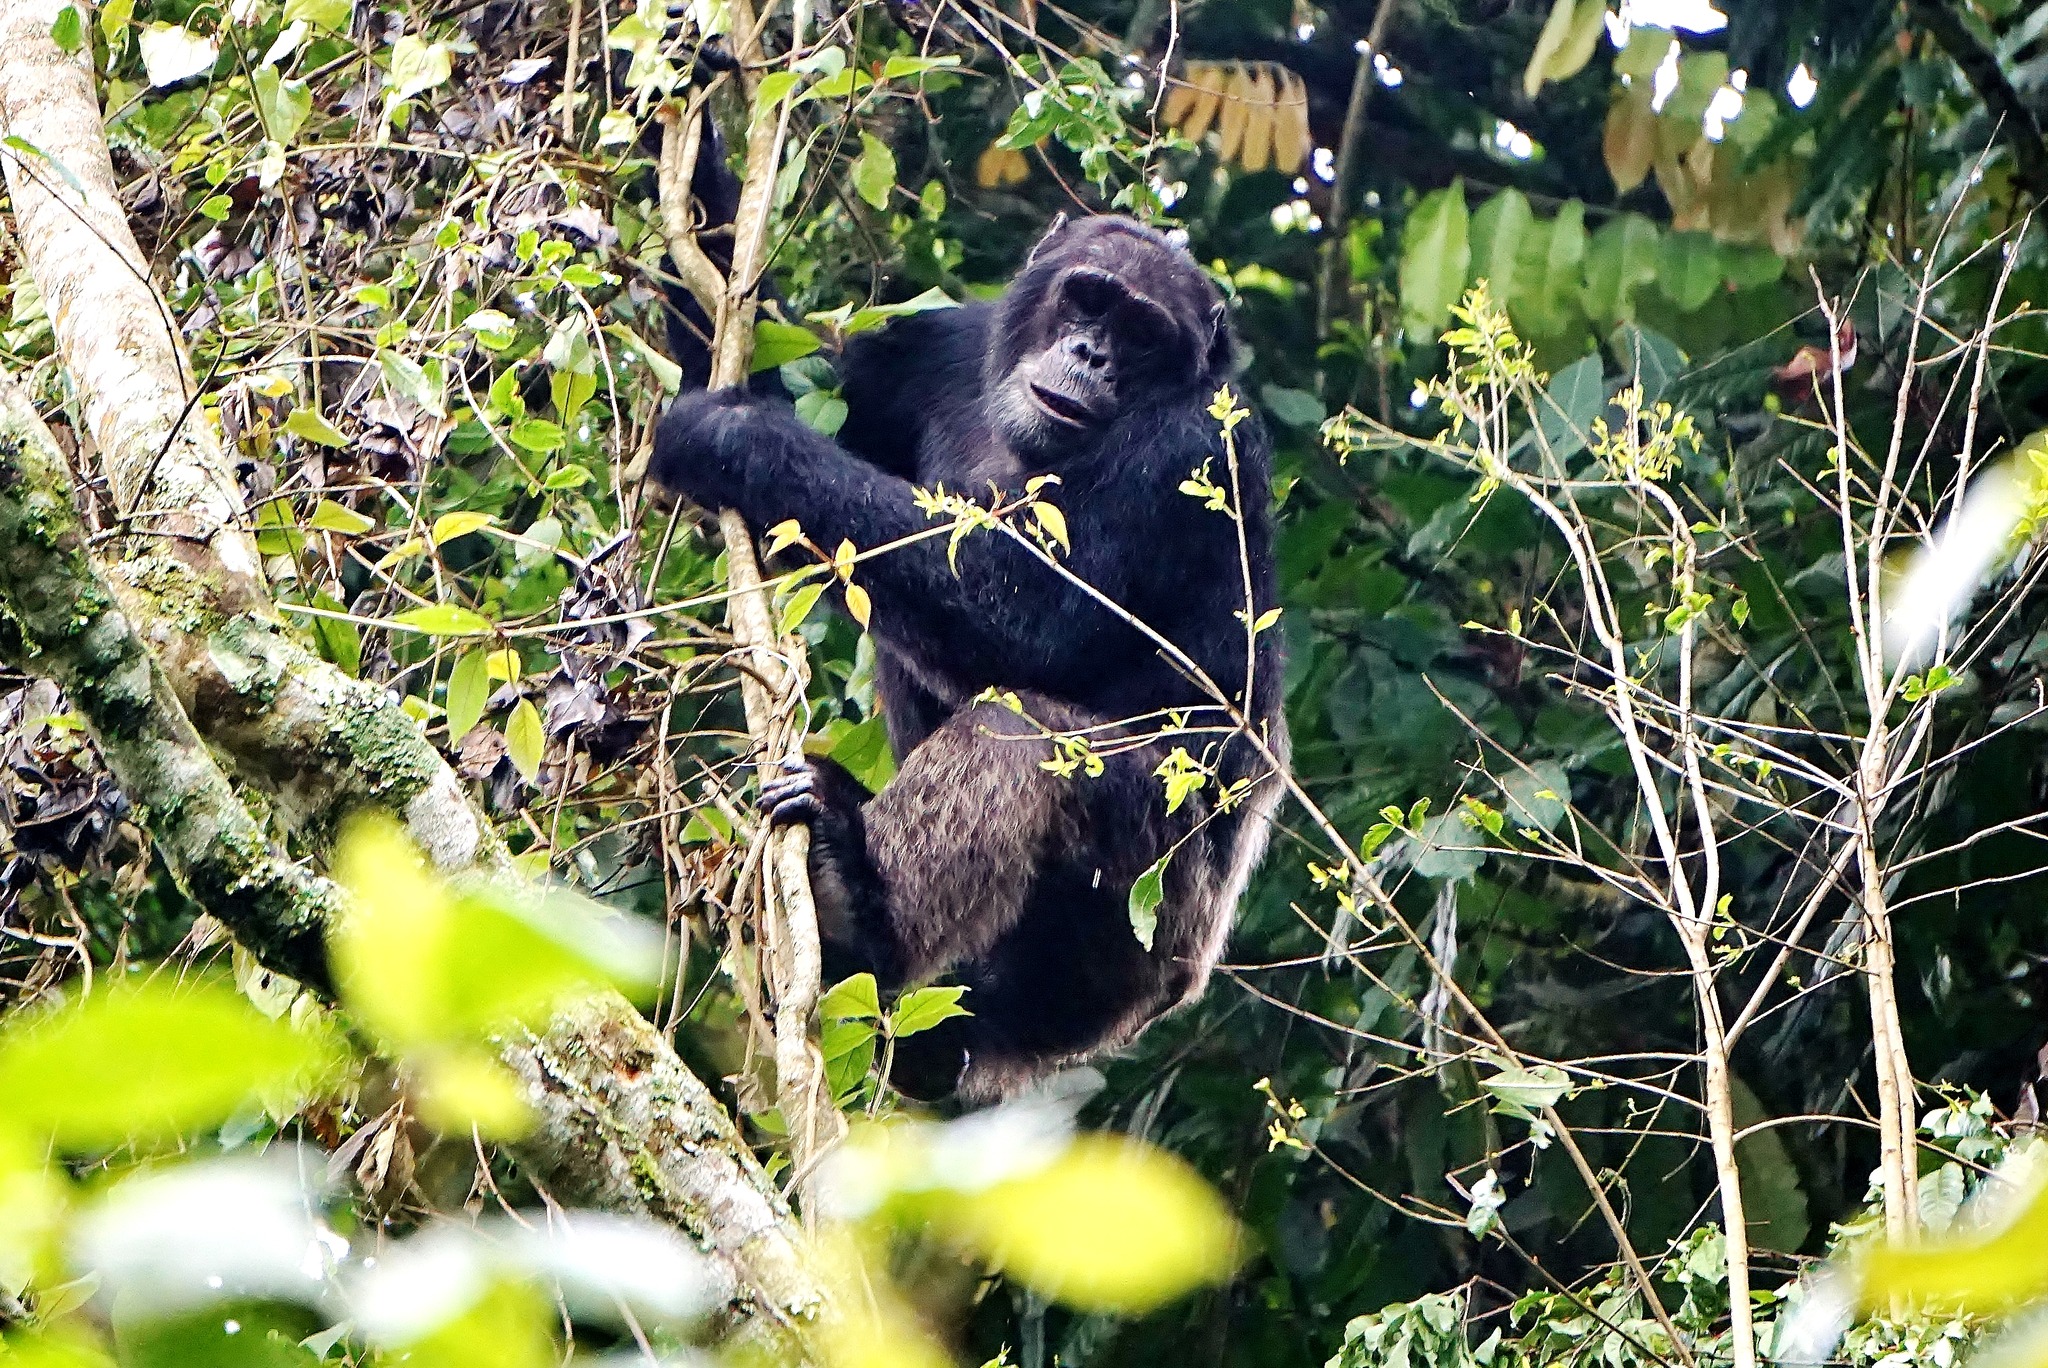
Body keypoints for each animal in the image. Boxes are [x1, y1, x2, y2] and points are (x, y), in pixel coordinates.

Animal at [655, 210, 1286, 1097]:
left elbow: (1032, 617)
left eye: (1142, 335)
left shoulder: (1188, 447)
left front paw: (731, 436)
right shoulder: (933, 347)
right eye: (1088, 300)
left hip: (1147, 918)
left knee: (1018, 736)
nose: (1093, 354)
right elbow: (787, 374)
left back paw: (861, 909)